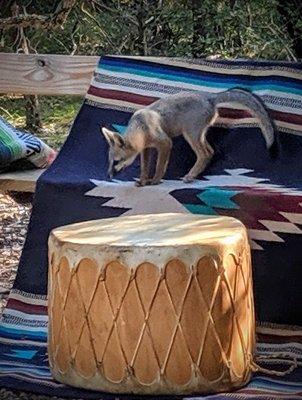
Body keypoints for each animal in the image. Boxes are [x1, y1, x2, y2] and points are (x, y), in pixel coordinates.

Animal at [102, 88, 276, 185]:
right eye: (109, 162)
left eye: (116, 162)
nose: (108, 176)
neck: (141, 126)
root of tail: (209, 97)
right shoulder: (146, 149)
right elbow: (144, 168)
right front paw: (143, 181)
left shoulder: (165, 143)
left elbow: (159, 166)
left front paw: (155, 180)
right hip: (199, 136)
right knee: (210, 152)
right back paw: (194, 175)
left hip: (191, 136)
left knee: (204, 154)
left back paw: (190, 176)